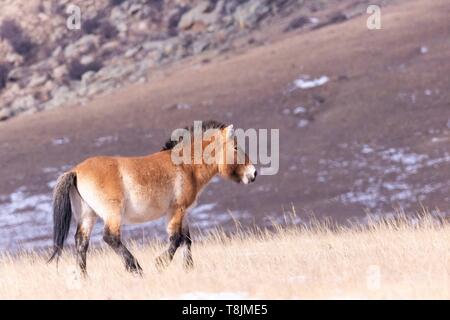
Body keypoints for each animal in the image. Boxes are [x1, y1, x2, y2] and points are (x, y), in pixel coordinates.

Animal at [48, 120, 256, 276]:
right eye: (235, 147)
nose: (253, 173)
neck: (186, 166)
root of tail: (75, 171)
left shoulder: (184, 213)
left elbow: (187, 240)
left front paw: (188, 268)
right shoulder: (176, 210)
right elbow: (176, 239)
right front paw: (160, 263)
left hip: (88, 216)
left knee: (81, 243)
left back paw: (85, 278)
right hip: (112, 214)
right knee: (110, 237)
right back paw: (135, 268)